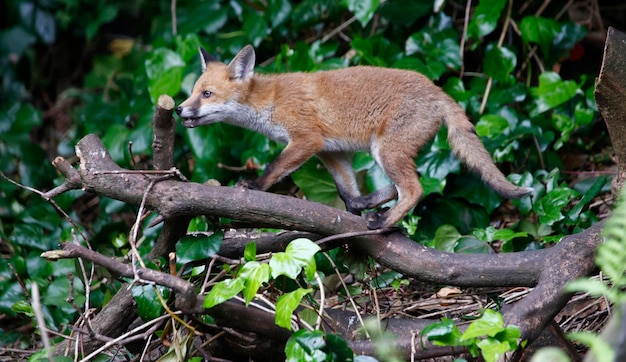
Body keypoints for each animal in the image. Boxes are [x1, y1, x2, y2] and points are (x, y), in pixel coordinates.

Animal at [176, 45, 532, 229]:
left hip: (386, 151)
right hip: (385, 153)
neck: (269, 101)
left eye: (207, 94)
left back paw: (385, 221)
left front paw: (254, 186)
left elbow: (274, 167)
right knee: (405, 185)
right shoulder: (330, 151)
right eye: (193, 92)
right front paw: (355, 208)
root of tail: (437, 89)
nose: (179, 110)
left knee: (415, 189)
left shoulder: (306, 140)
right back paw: (375, 206)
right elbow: (345, 189)